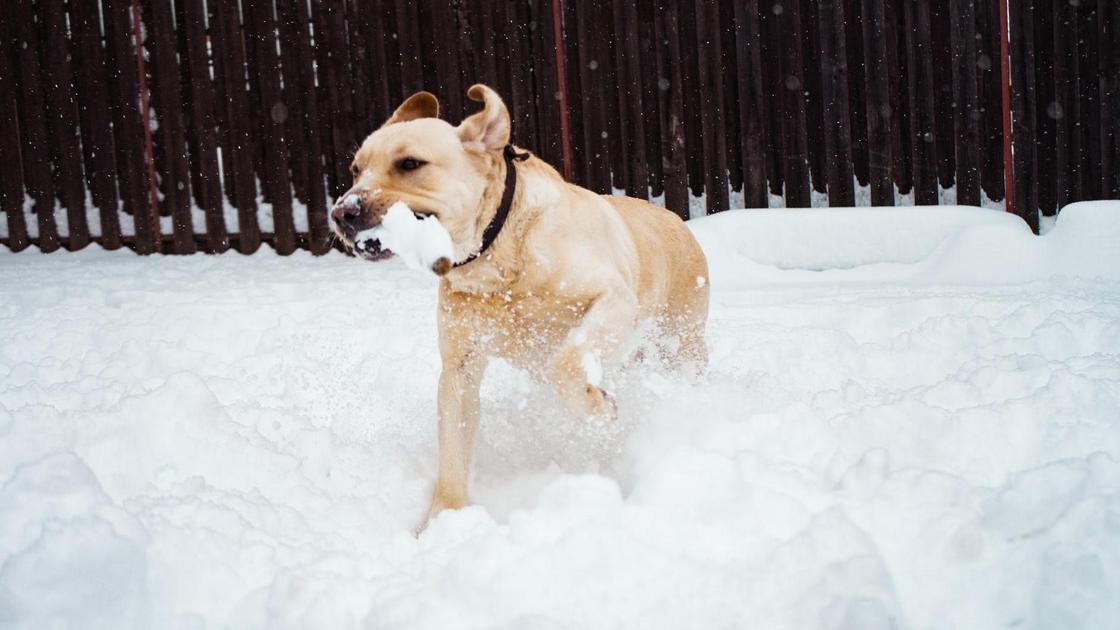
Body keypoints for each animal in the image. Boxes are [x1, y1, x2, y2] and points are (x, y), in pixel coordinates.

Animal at [327, 84, 707, 529]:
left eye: (409, 163)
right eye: (356, 169)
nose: (341, 212)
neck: (497, 258)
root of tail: (675, 218)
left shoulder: (613, 299)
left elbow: (567, 364)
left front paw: (598, 410)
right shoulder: (460, 368)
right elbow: (452, 446)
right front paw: (444, 522)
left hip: (682, 341)